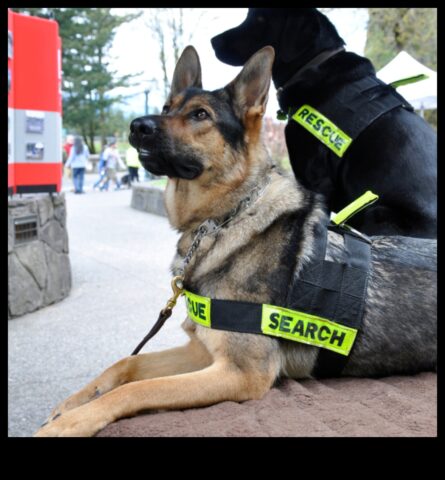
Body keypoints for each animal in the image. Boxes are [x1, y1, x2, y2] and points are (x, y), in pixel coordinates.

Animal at [33, 47, 434, 436]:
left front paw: (73, 422)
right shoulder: (202, 351)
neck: (225, 220)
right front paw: (72, 404)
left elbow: (138, 389)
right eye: (166, 108)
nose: (136, 126)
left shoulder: (240, 373)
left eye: (200, 115)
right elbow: (126, 364)